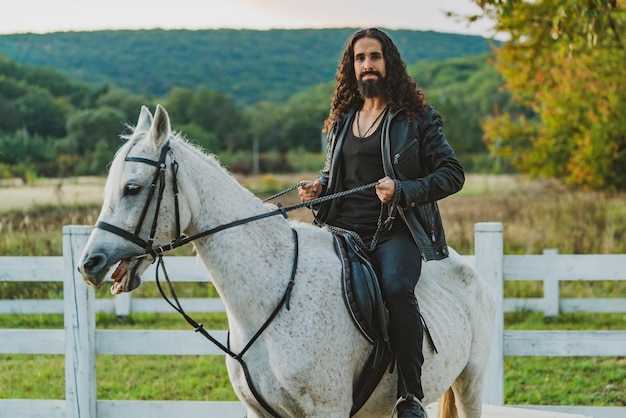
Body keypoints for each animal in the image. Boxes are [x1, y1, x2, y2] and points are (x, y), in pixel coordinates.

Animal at [77, 104, 492, 418]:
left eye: (132, 188)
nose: (89, 264)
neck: (273, 292)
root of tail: (470, 270)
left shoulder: (328, 410)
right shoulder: (261, 412)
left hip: (470, 384)